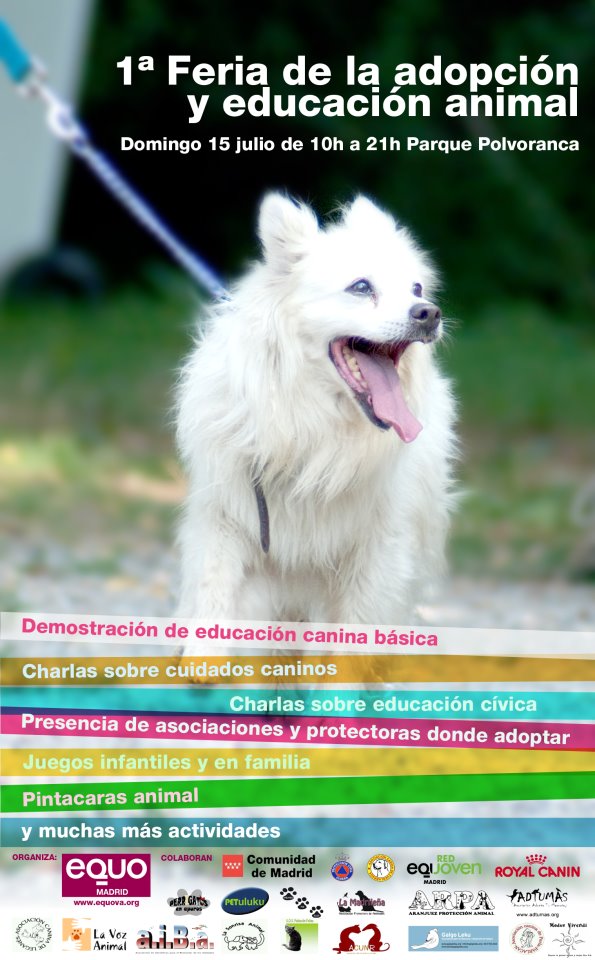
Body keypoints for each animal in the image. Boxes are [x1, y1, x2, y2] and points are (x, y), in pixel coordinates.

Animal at [176, 197, 456, 632]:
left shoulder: (377, 559)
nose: (429, 313)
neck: (312, 429)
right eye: (361, 287)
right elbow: (212, 603)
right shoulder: (222, 524)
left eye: (416, 289)